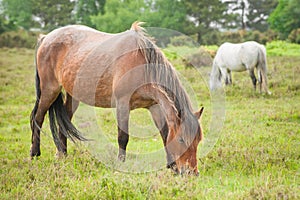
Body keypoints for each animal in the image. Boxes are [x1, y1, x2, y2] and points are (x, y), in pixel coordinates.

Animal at [30, 21, 204, 175]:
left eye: (198, 140)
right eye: (181, 140)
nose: (191, 172)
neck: (142, 65)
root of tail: (46, 38)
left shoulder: (155, 106)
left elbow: (164, 133)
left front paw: (171, 166)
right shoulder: (122, 104)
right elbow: (123, 137)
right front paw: (121, 164)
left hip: (73, 96)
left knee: (64, 122)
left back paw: (62, 155)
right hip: (50, 90)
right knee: (38, 118)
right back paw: (34, 153)